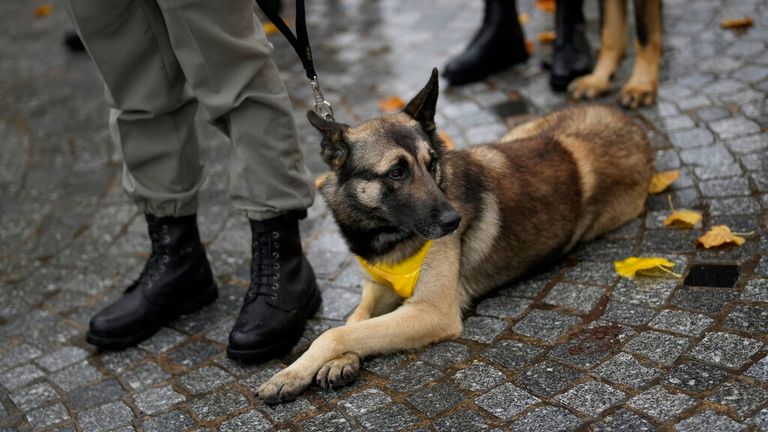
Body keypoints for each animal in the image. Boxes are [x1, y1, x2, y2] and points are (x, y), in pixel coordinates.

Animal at [258, 69, 656, 404]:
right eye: (397, 172)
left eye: (431, 163)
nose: (454, 220)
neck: (388, 235)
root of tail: (631, 123)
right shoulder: (378, 289)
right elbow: (353, 323)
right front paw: (338, 362)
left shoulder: (431, 312)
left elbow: (335, 333)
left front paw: (292, 373)